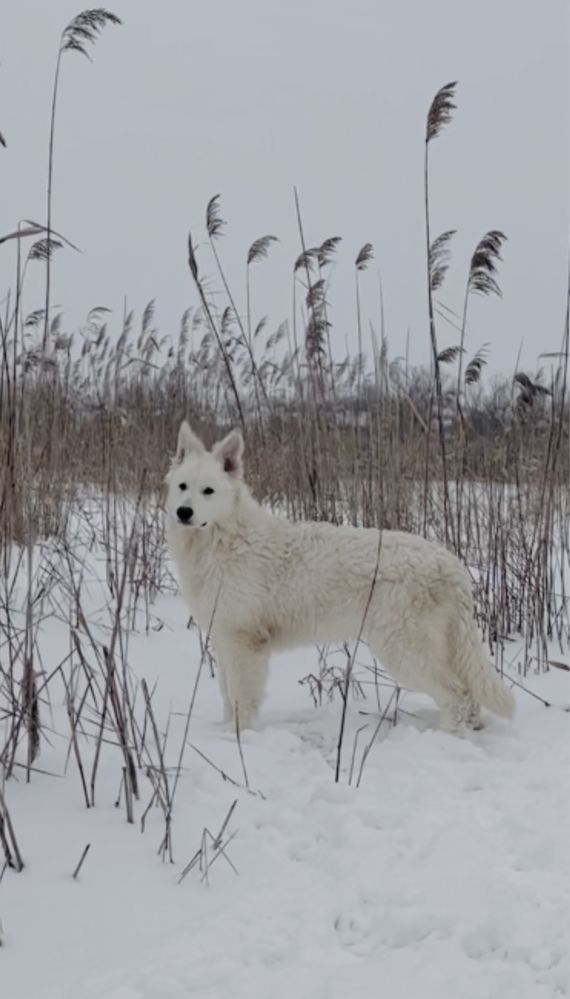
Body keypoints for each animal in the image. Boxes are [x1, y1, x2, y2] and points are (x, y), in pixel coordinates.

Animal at [163, 422, 510, 736]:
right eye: (182, 487)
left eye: (208, 491)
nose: (183, 512)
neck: (223, 540)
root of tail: (451, 564)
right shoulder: (223, 639)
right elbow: (226, 695)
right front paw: (224, 732)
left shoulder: (244, 642)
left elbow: (241, 698)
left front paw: (239, 737)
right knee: (469, 698)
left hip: (404, 652)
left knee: (458, 695)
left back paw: (444, 736)